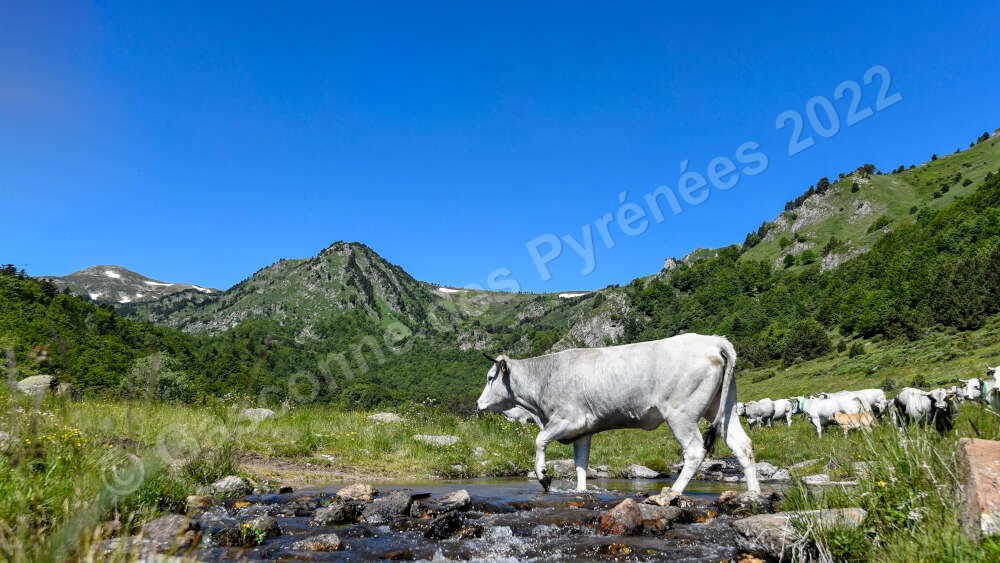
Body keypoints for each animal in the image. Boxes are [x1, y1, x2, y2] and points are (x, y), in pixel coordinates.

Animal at [474, 332, 756, 496]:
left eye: (489, 378)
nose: (478, 404)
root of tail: (715, 340)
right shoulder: (582, 430)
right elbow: (580, 464)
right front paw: (580, 491)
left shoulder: (567, 419)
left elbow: (539, 440)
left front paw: (544, 477)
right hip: (724, 407)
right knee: (742, 445)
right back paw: (754, 494)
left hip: (681, 413)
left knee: (696, 450)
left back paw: (672, 494)